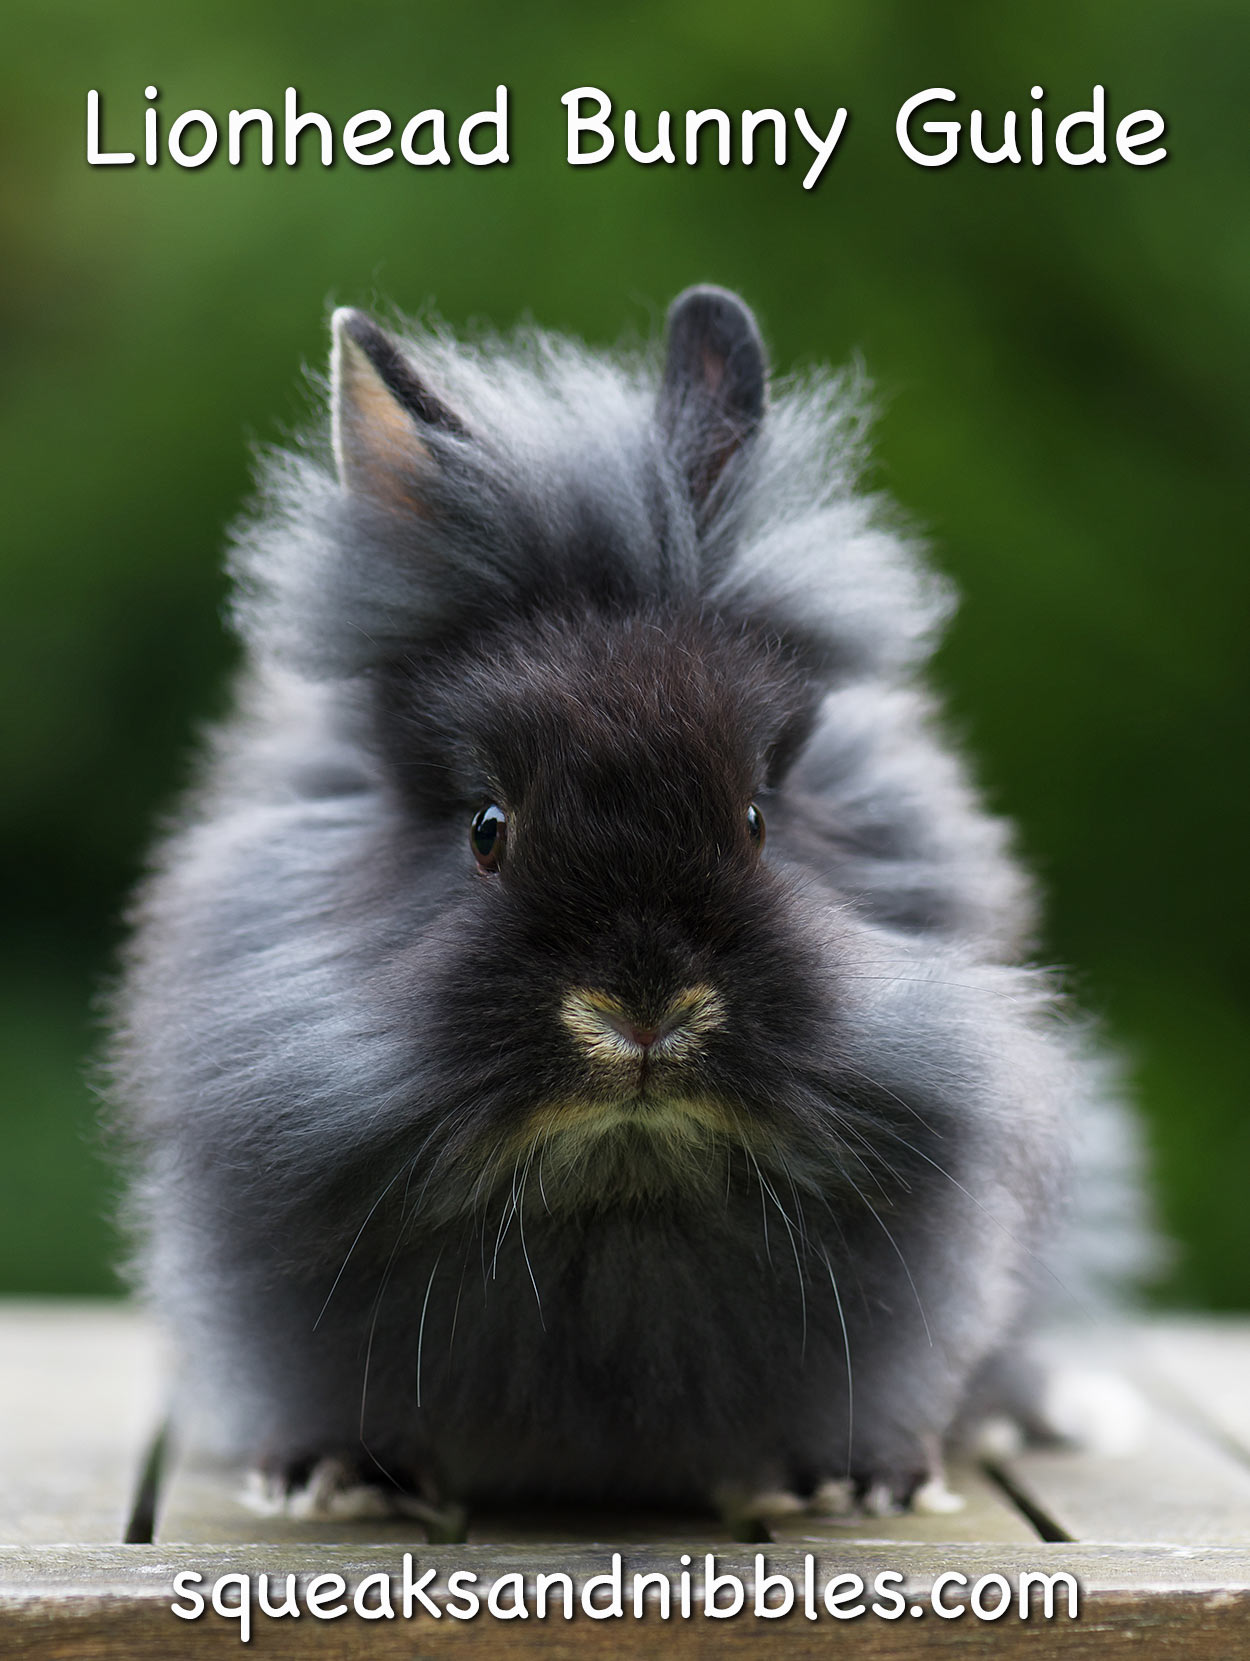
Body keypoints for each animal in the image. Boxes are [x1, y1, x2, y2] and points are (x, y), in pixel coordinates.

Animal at [109, 285, 1148, 1528]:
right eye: (487, 828)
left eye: (754, 816)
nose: (643, 1011)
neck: (618, 1190)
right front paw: (329, 1477)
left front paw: (861, 1482)